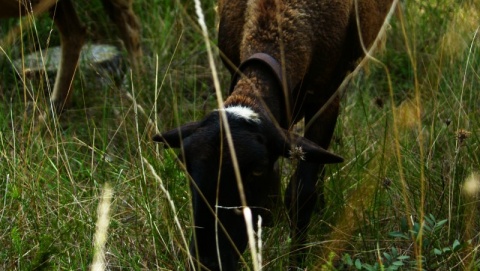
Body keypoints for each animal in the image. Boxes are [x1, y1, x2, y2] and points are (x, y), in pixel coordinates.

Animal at [156, 0, 396, 270]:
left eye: (257, 169)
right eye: (185, 165)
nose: (209, 262)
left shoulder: (326, 100)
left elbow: (302, 192)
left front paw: (297, 260)